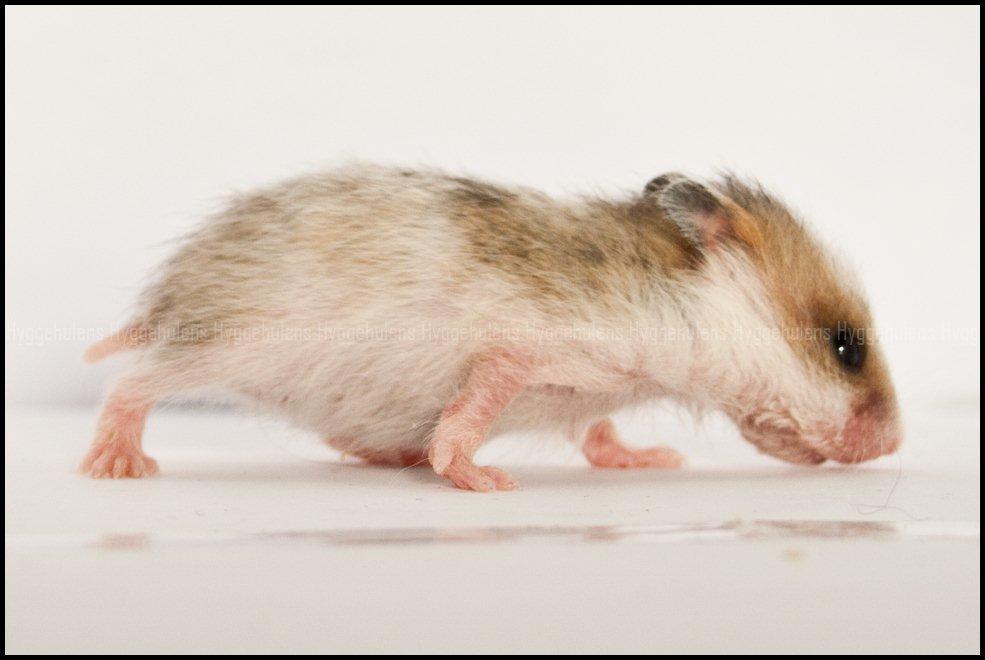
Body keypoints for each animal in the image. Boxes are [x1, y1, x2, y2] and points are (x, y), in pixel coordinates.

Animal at [81, 164, 901, 491]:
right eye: (846, 345)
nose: (895, 444)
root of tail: (169, 297)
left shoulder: (592, 388)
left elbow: (600, 434)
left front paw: (655, 459)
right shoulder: (521, 350)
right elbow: (468, 420)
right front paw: (487, 482)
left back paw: (394, 457)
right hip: (225, 344)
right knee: (132, 385)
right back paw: (117, 466)